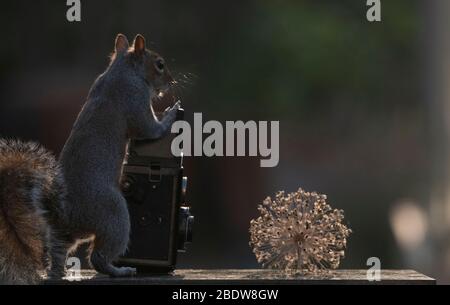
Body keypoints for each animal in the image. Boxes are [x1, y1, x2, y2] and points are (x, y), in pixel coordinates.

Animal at [0, 33, 179, 282]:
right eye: (159, 64)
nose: (172, 82)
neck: (122, 70)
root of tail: (63, 215)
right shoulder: (135, 98)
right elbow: (150, 129)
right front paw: (172, 112)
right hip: (113, 213)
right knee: (98, 257)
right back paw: (120, 270)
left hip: (71, 235)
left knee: (60, 252)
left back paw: (60, 272)